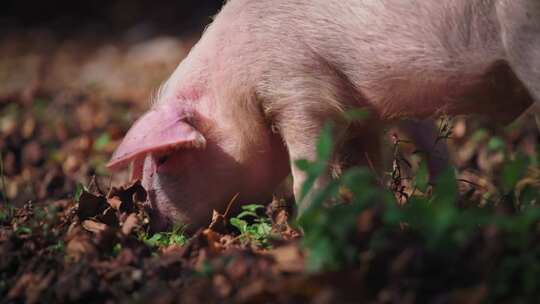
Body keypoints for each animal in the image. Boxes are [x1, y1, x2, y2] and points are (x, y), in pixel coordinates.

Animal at [107, 0, 536, 230]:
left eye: (165, 158)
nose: (151, 220)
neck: (234, 83)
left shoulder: (299, 90)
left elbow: (307, 166)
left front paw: (308, 226)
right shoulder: (370, 108)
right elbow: (392, 158)